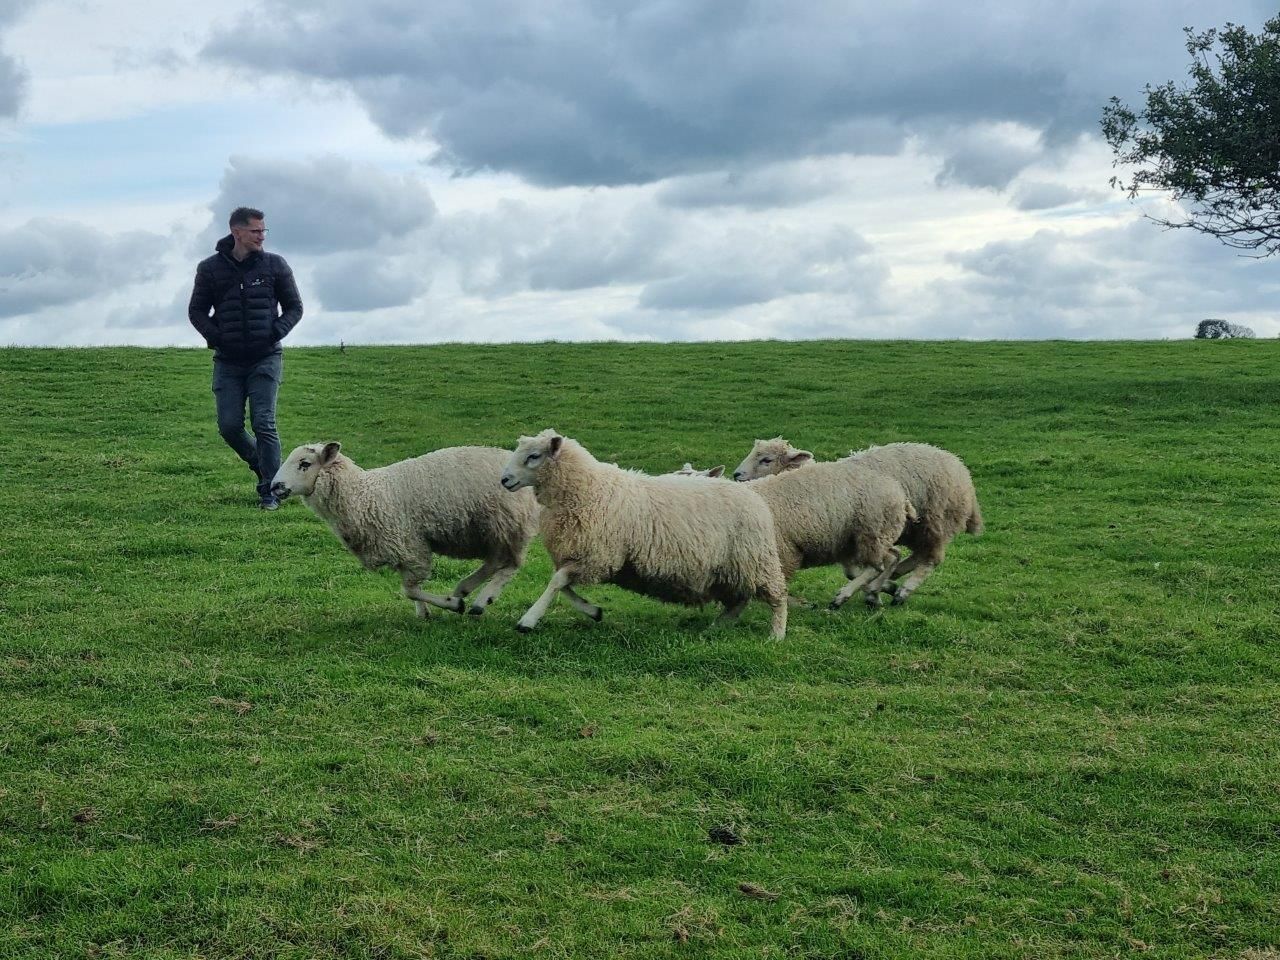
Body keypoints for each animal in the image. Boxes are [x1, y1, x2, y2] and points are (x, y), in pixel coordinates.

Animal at [271, 442, 540, 617]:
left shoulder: (410, 546)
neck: (362, 494)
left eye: (304, 464)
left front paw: (451, 605)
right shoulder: (401, 551)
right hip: (494, 531)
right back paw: (465, 589)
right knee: (496, 562)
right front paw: (425, 613)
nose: (274, 487)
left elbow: (410, 590)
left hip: (507, 524)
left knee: (511, 564)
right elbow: (413, 590)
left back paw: (481, 600)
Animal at [500, 429, 789, 638]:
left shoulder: (598, 555)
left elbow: (557, 582)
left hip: (756, 559)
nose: (504, 480)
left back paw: (776, 635)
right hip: (730, 570)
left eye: (533, 456)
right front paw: (593, 611)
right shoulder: (587, 557)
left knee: (778, 596)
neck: (588, 489)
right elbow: (564, 585)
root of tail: (753, 495)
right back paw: (716, 628)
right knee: (739, 601)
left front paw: (528, 620)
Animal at [733, 437, 983, 604]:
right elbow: (853, 571)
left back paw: (903, 590)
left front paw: (875, 589)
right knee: (918, 555)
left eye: (766, 459)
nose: (736, 475)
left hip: (933, 523)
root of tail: (963, 472)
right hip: (914, 529)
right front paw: (879, 588)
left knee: (931, 559)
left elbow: (862, 569)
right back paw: (894, 579)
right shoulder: (845, 539)